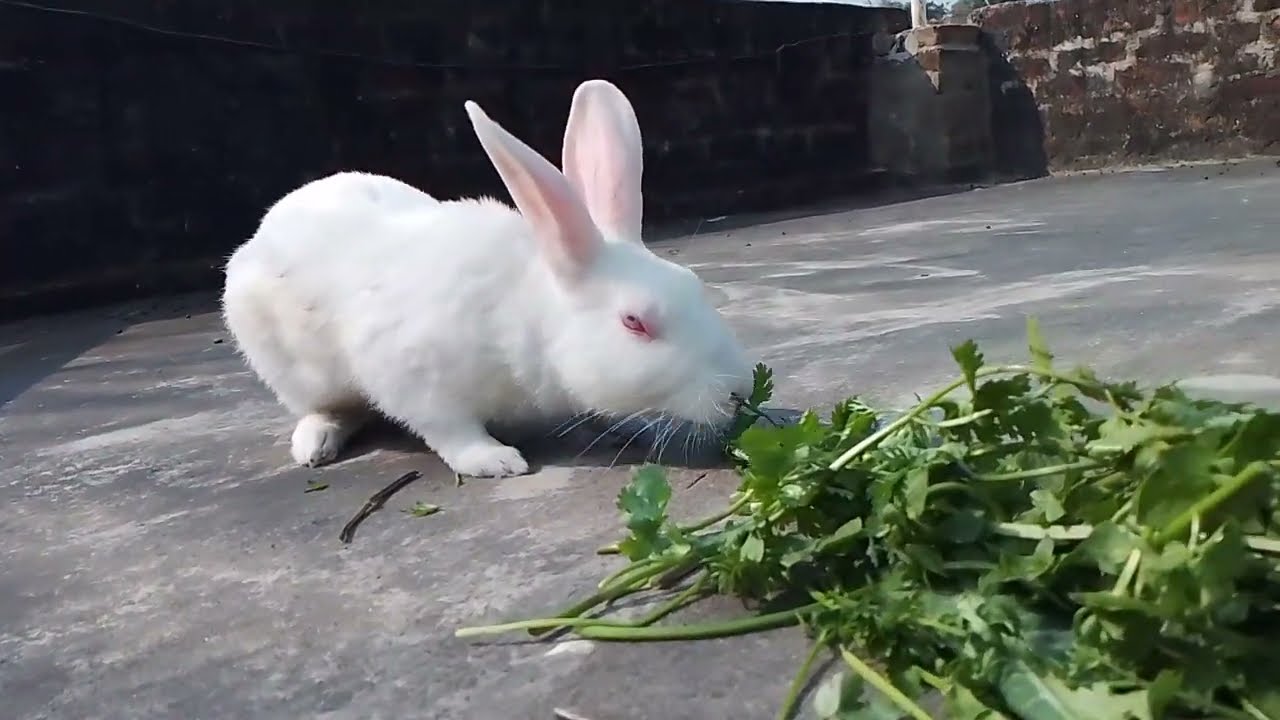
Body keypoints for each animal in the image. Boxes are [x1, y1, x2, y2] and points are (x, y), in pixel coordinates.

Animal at [221, 79, 756, 478]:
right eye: (635, 324)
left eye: (695, 285)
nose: (740, 392)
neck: (528, 313)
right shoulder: (412, 374)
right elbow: (448, 428)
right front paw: (494, 461)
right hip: (294, 370)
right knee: (330, 406)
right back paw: (316, 444)